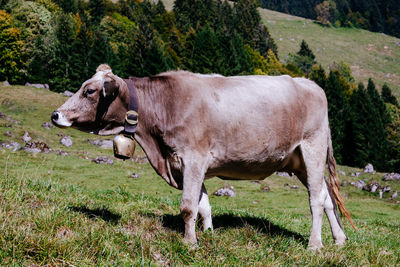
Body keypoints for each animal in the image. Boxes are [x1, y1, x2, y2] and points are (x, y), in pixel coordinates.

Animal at [51, 65, 354, 251]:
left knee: (316, 200)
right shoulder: (184, 164)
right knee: (327, 197)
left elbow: (188, 206)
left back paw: (315, 245)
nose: (56, 115)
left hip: (313, 148)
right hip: (299, 160)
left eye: (89, 91)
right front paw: (207, 234)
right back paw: (339, 240)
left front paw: (190, 243)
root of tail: (310, 84)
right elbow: (203, 205)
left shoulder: (193, 158)